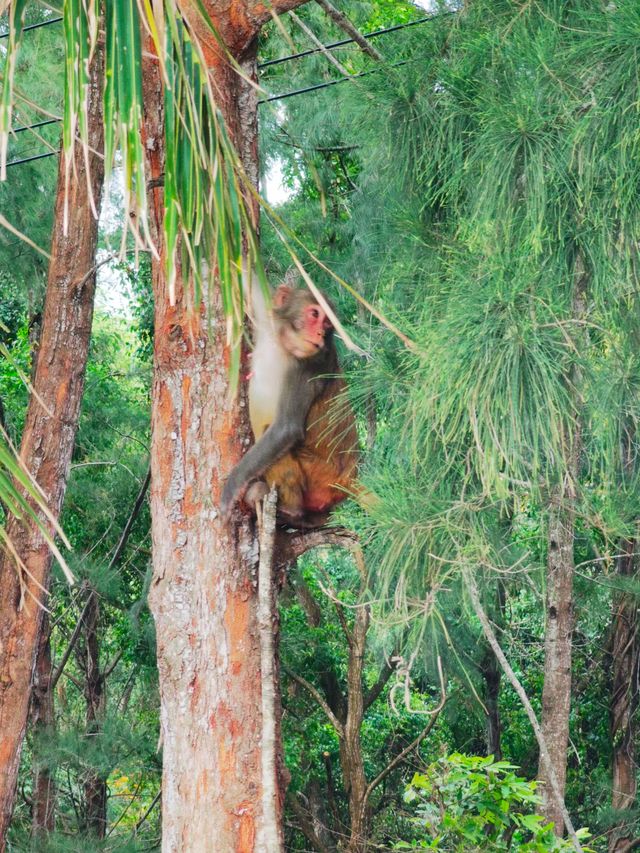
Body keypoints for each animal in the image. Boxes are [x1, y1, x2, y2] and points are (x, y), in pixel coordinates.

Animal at [221, 272, 360, 524]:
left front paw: (232, 485)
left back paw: (289, 511)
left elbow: (286, 428)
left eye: (327, 324)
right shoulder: (267, 317)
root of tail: (350, 479)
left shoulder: (310, 365)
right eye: (314, 314)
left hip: (323, 479)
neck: (282, 345)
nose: (319, 333)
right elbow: (246, 276)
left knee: (278, 439)